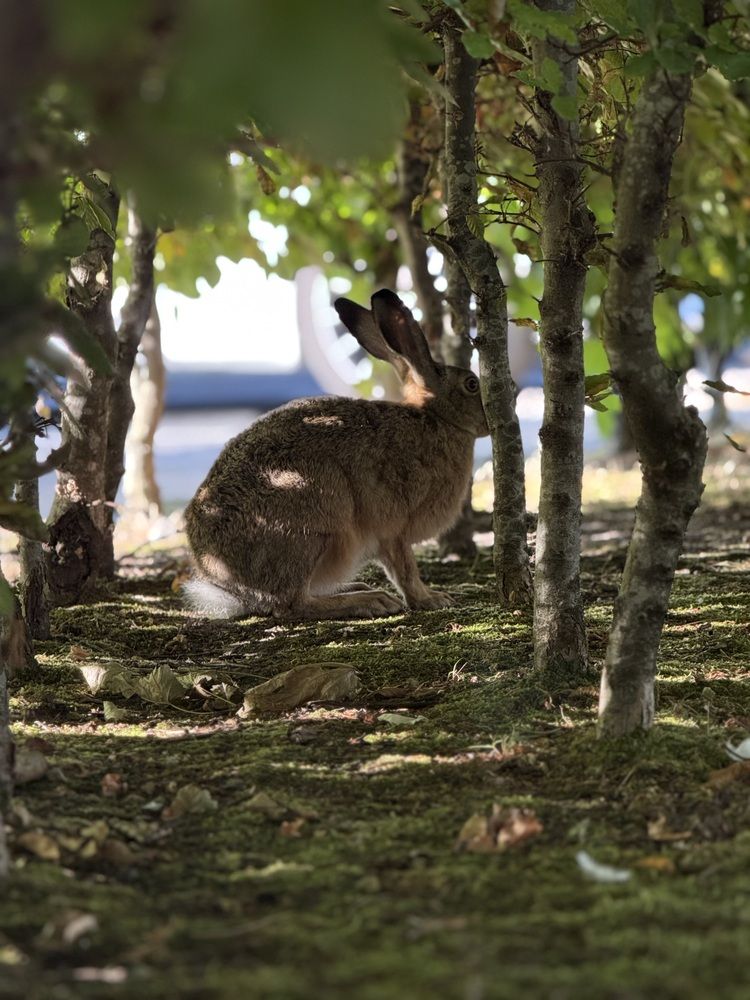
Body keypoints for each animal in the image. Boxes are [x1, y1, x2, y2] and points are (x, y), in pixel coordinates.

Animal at [183, 288, 488, 620]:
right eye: (472, 384)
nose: (495, 418)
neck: (437, 419)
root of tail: (226, 581)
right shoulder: (393, 529)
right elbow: (405, 569)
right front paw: (431, 599)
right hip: (315, 520)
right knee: (292, 603)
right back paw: (369, 600)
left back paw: (359, 589)